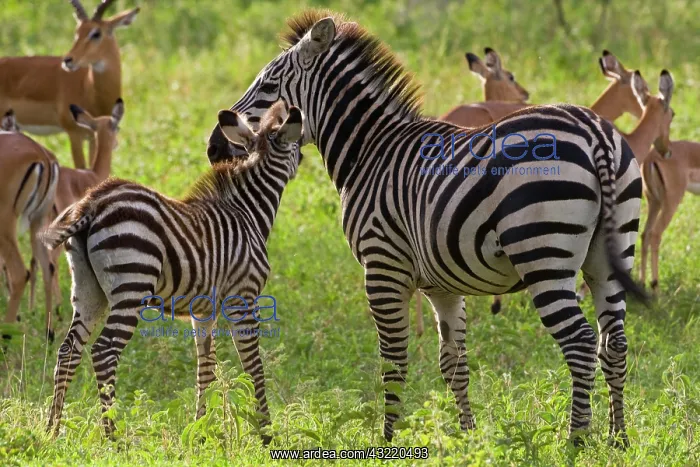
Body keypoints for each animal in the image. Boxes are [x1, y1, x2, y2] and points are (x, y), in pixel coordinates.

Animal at [42, 101, 304, 444]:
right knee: (103, 351)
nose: (304, 157)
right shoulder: (243, 297)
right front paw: (265, 432)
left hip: (89, 291)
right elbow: (253, 364)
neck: (247, 212)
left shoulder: (204, 310)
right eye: (296, 145)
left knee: (68, 350)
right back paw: (113, 437)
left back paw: (52, 429)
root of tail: (92, 203)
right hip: (131, 286)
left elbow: (206, 365)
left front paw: (201, 430)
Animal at [207, 10, 648, 448]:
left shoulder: (383, 265)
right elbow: (454, 363)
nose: (213, 147)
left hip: (544, 256)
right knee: (614, 343)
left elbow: (394, 361)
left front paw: (387, 441)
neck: (370, 150)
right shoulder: (442, 283)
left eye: (268, 85)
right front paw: (468, 439)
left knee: (581, 343)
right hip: (609, 257)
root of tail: (595, 134)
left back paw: (576, 440)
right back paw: (619, 438)